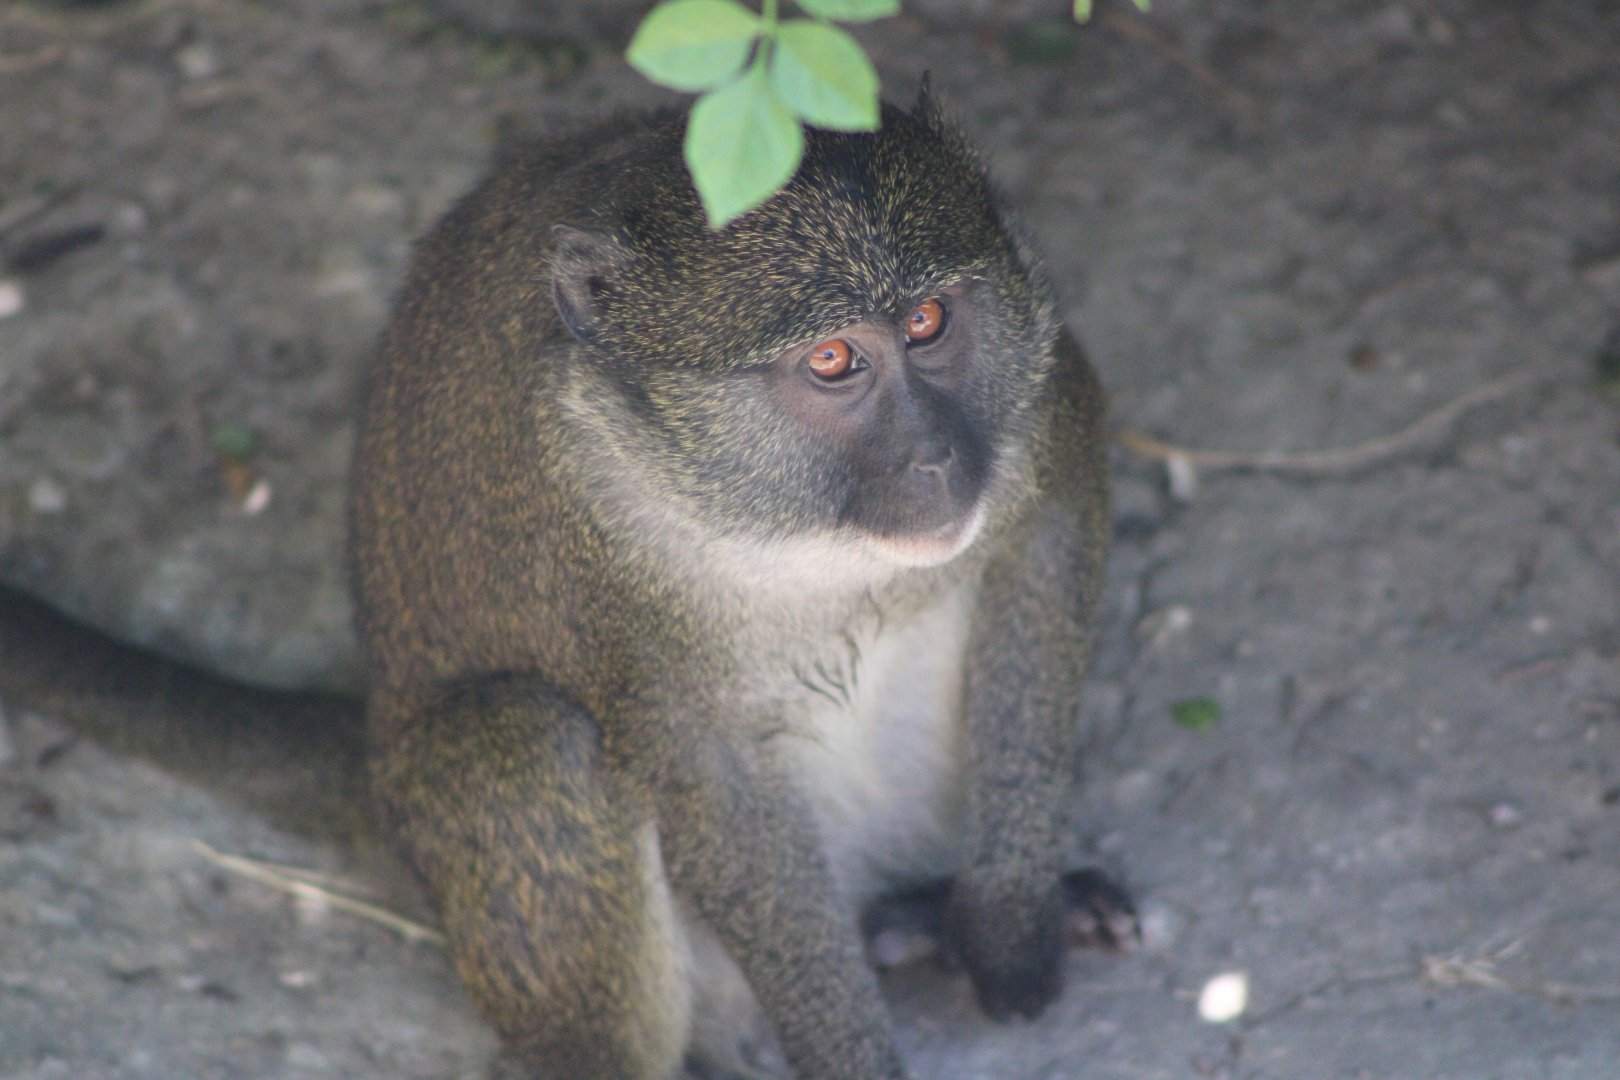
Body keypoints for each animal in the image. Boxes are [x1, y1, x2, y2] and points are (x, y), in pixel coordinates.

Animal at [349, 92, 1134, 1080]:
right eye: (834, 360)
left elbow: (1053, 528)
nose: (935, 459)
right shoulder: (590, 516)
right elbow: (708, 773)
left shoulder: (1038, 386)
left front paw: (1009, 922)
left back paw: (924, 913)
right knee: (523, 743)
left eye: (926, 322)